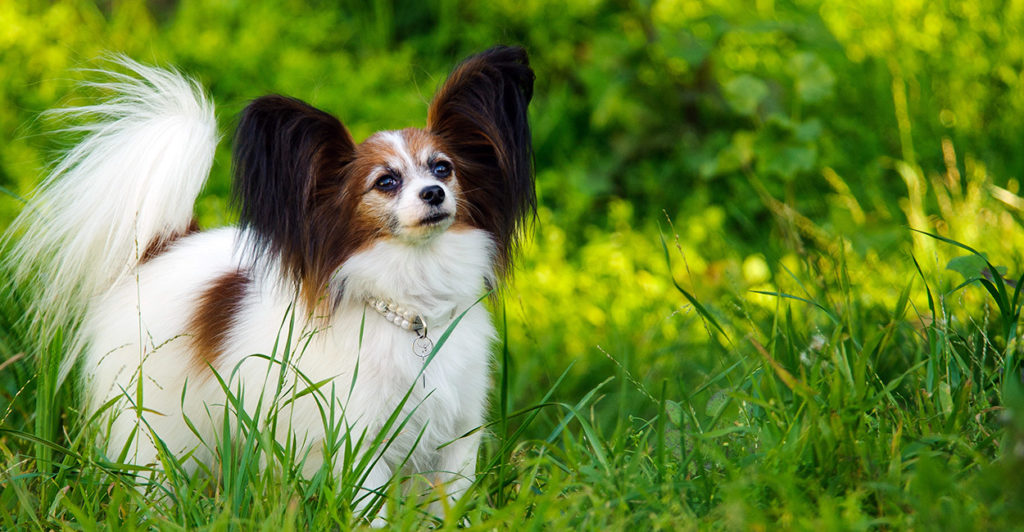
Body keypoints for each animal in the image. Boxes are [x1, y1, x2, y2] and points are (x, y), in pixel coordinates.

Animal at [6, 45, 536, 519]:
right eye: (386, 182)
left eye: (443, 168)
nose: (434, 194)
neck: (412, 310)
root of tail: (164, 246)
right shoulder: (358, 440)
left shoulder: (454, 438)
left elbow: (450, 507)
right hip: (152, 426)